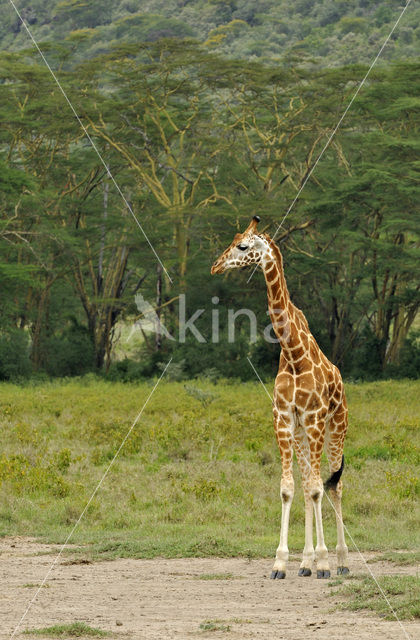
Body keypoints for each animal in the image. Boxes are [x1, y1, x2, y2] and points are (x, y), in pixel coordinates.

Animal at [212, 216, 350, 580]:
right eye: (233, 240)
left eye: (243, 246)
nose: (216, 266)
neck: (293, 352)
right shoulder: (284, 418)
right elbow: (290, 488)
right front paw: (282, 562)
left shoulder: (314, 417)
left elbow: (318, 488)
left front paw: (324, 562)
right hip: (303, 433)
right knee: (308, 482)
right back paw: (306, 563)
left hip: (335, 426)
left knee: (333, 485)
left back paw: (341, 561)